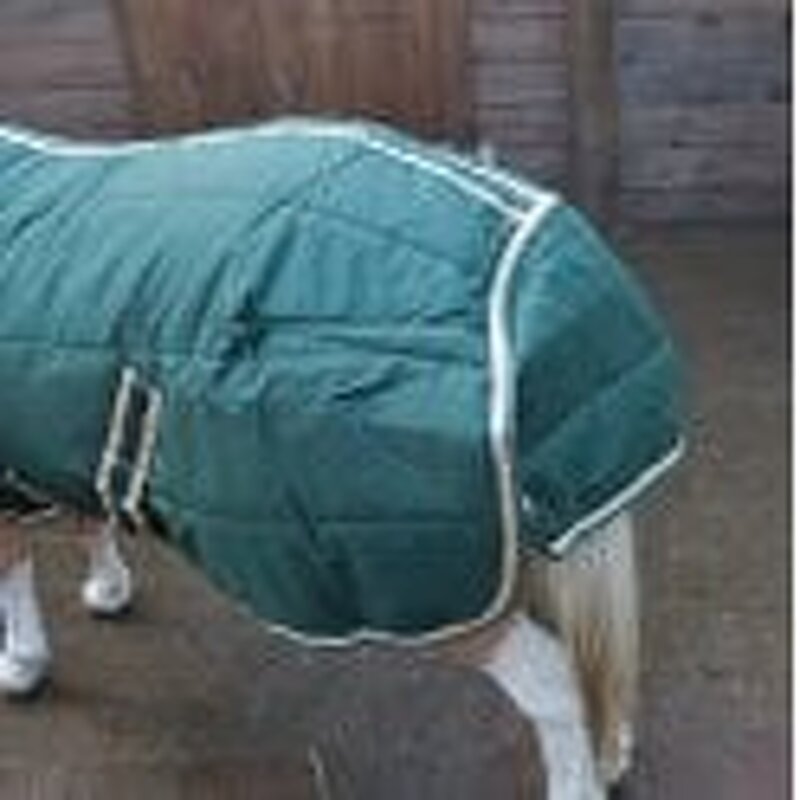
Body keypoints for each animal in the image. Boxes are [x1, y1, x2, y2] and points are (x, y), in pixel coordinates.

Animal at [0, 118, 683, 798]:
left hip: (439, 593)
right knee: (590, 662)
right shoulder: (58, 445)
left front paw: (22, 665)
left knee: (557, 689)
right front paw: (106, 588)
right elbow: (87, 517)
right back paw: (613, 751)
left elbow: (14, 573)